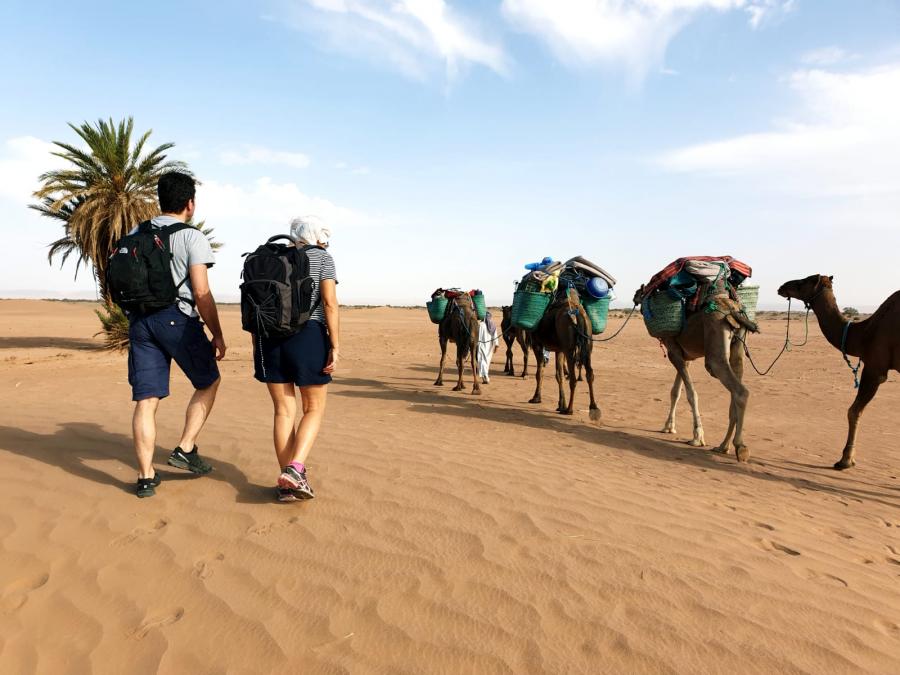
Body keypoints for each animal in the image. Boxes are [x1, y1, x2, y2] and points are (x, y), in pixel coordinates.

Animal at [524, 290, 600, 418]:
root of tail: (577, 313)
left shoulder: (537, 344)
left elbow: (539, 372)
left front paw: (536, 398)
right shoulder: (559, 349)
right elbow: (559, 375)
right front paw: (561, 404)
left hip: (568, 345)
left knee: (573, 378)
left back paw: (569, 409)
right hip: (587, 343)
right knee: (590, 373)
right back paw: (593, 407)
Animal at [632, 282, 760, 462]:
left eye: (642, 291)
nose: (635, 296)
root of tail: (733, 310)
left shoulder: (674, 352)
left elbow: (691, 394)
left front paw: (697, 436)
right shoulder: (685, 357)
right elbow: (675, 392)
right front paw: (668, 427)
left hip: (715, 347)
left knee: (739, 390)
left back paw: (740, 447)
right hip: (739, 349)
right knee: (734, 392)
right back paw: (723, 446)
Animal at [772, 274, 900, 470]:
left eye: (803, 281)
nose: (782, 287)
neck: (864, 333)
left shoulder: (875, 367)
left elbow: (854, 411)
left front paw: (845, 460)